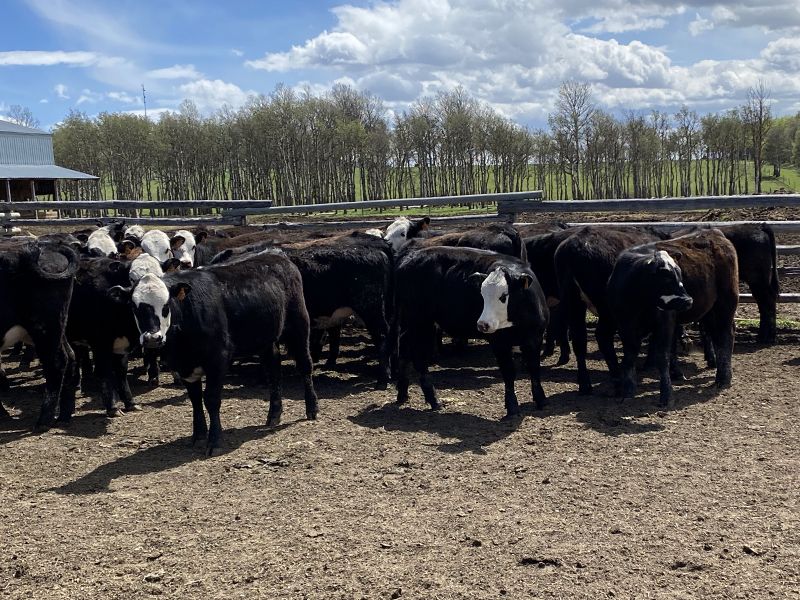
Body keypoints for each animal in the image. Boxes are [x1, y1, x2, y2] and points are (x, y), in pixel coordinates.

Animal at [0, 239, 79, 428]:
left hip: (44, 327)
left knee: (57, 362)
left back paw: (44, 419)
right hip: (57, 327)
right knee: (70, 356)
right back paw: (65, 414)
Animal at [109, 249, 319, 454]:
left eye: (166, 305)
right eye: (134, 307)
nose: (153, 338)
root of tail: (278, 255)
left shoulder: (218, 359)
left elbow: (211, 399)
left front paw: (215, 441)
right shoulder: (185, 366)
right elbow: (195, 400)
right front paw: (199, 436)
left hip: (299, 326)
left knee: (305, 365)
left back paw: (312, 408)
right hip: (266, 340)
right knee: (274, 371)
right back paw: (274, 414)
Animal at [394, 246, 549, 419]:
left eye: (503, 296)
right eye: (482, 294)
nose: (483, 324)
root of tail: (409, 257)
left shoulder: (535, 338)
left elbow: (534, 369)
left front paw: (541, 400)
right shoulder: (499, 343)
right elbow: (508, 373)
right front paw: (512, 408)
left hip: (411, 323)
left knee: (404, 352)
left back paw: (402, 394)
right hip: (420, 322)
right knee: (419, 358)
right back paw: (433, 400)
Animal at [553, 226, 668, 395]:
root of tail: (575, 246)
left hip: (573, 302)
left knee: (579, 339)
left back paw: (585, 384)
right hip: (607, 310)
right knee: (602, 336)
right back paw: (617, 378)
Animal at [608, 229, 739, 407]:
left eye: (680, 274)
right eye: (665, 277)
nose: (688, 300)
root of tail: (713, 232)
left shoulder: (665, 322)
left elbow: (662, 356)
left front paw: (667, 395)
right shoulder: (625, 324)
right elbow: (629, 355)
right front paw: (628, 390)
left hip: (726, 302)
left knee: (725, 335)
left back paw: (723, 378)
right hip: (710, 310)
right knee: (717, 336)